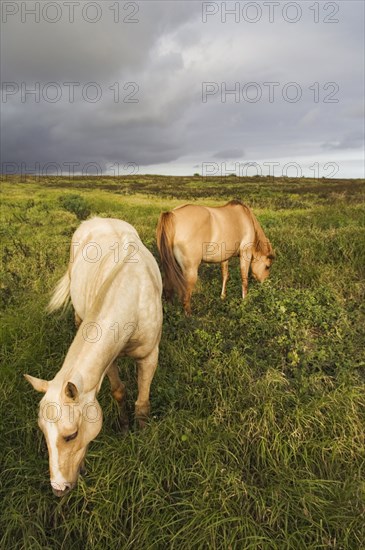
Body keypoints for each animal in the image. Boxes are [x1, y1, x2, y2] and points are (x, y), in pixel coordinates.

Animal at [24, 218, 161, 498]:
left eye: (71, 435)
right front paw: (124, 427)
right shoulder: (109, 362)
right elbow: (119, 391)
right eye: (43, 431)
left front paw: (141, 434)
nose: (59, 489)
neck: (132, 293)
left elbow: (142, 401)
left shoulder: (150, 355)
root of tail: (96, 219)